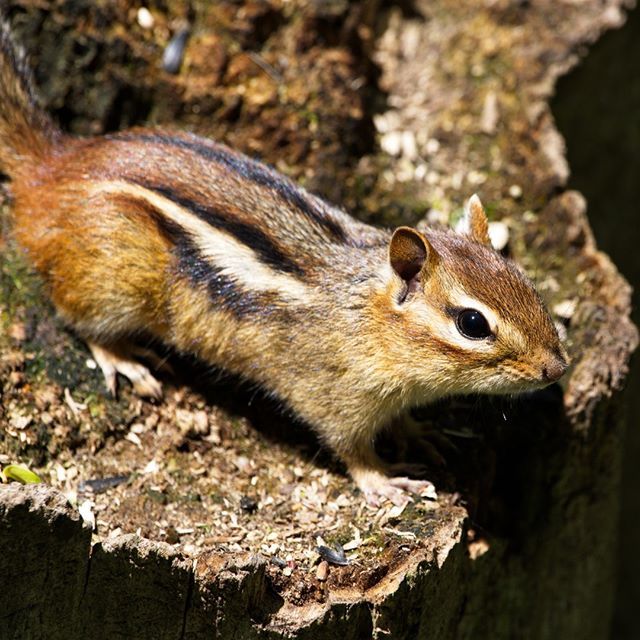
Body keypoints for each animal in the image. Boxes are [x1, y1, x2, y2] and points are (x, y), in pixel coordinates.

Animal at [0, 22, 568, 506]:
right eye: (472, 323)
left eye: (527, 283)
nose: (557, 368)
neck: (365, 315)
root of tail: (52, 168)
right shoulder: (334, 397)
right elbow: (351, 449)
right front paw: (384, 483)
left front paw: (417, 432)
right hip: (111, 284)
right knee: (81, 321)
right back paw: (123, 358)